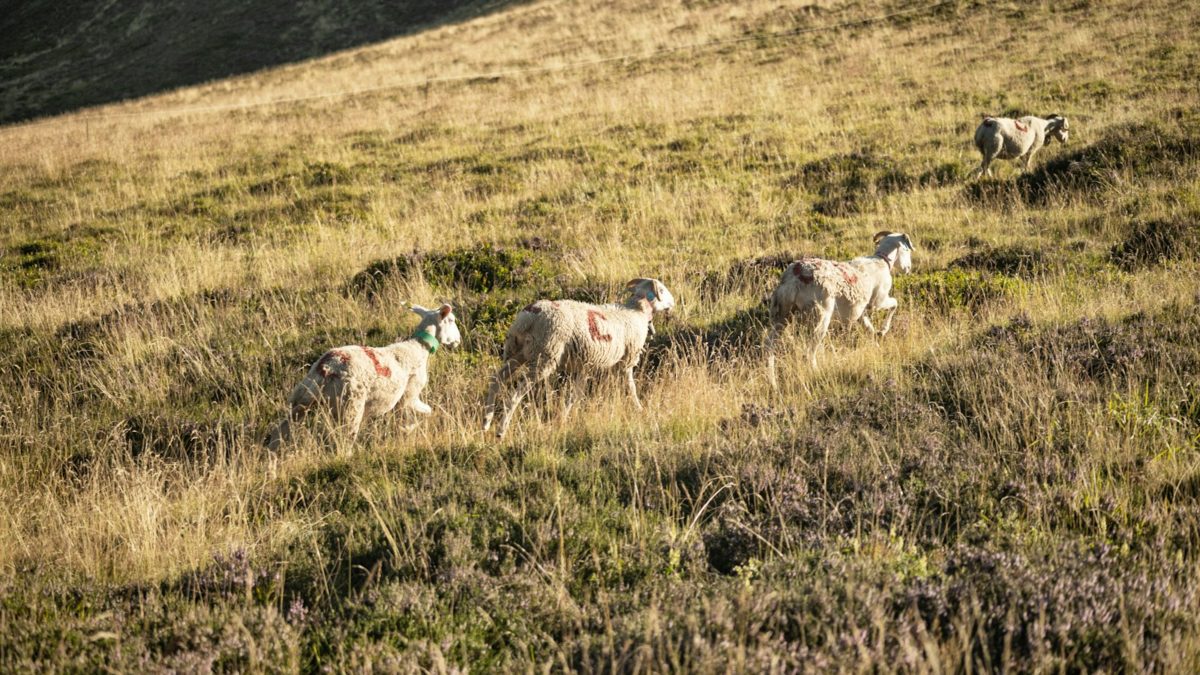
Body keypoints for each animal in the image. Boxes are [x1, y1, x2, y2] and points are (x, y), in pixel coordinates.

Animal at [265, 302, 460, 449]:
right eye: (451, 320)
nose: (458, 341)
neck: (418, 347)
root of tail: (326, 368)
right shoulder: (409, 395)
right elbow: (421, 412)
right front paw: (411, 429)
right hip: (350, 404)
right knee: (343, 441)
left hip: (302, 399)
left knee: (280, 430)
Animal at [482, 276, 681, 439]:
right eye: (662, 290)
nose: (674, 302)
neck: (636, 310)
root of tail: (530, 315)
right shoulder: (626, 361)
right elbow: (630, 387)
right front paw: (639, 408)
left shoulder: (585, 365)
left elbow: (575, 394)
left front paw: (564, 417)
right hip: (545, 353)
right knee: (517, 392)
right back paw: (501, 430)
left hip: (517, 352)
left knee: (496, 379)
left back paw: (486, 422)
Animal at [763, 229, 912, 384]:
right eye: (907, 249)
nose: (908, 269)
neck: (881, 261)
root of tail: (795, 278)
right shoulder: (877, 302)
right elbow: (895, 304)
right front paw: (883, 331)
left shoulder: (861, 312)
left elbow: (869, 329)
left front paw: (876, 342)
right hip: (820, 316)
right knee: (809, 353)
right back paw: (817, 374)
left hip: (782, 312)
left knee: (769, 345)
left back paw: (772, 381)